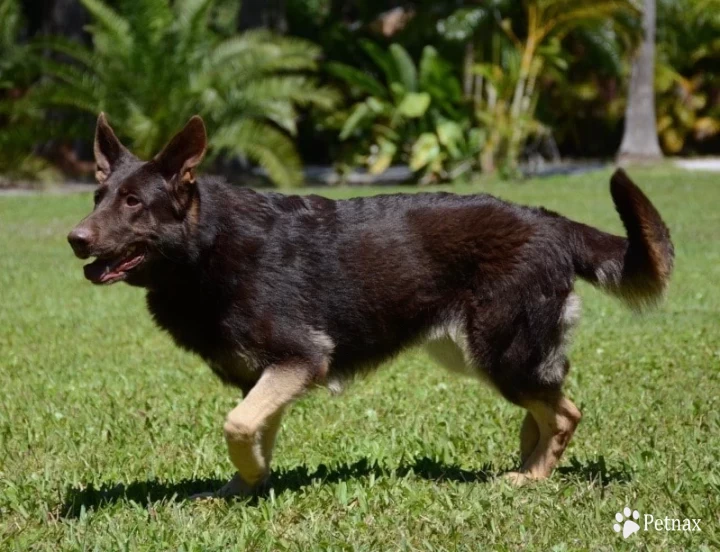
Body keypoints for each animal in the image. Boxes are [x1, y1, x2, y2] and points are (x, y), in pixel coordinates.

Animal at [69, 114, 676, 498]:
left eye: (133, 203)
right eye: (98, 198)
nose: (75, 239)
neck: (206, 247)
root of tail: (549, 220)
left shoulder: (300, 359)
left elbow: (237, 426)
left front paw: (249, 478)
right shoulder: (270, 374)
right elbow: (254, 429)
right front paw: (246, 488)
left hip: (501, 353)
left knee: (565, 413)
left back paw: (533, 479)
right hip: (478, 355)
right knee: (545, 409)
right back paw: (525, 464)